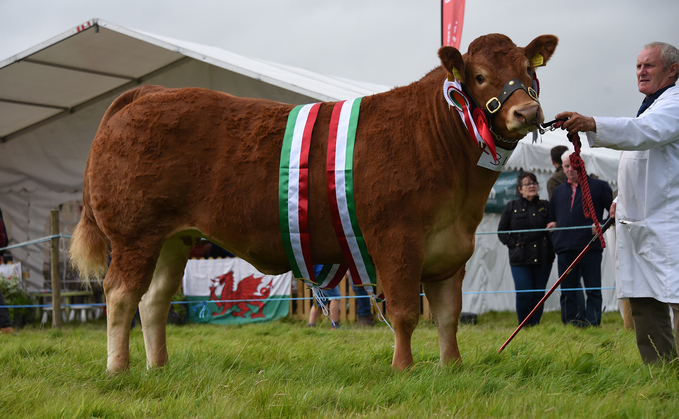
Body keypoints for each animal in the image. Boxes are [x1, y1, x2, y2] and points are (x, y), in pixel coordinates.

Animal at [70, 33, 556, 374]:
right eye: (479, 76)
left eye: (527, 71)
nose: (527, 113)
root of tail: (148, 93)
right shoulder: (396, 239)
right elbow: (404, 312)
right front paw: (404, 369)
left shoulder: (451, 247)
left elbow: (448, 314)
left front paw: (451, 367)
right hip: (134, 235)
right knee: (120, 295)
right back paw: (119, 370)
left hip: (174, 239)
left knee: (153, 300)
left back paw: (159, 367)